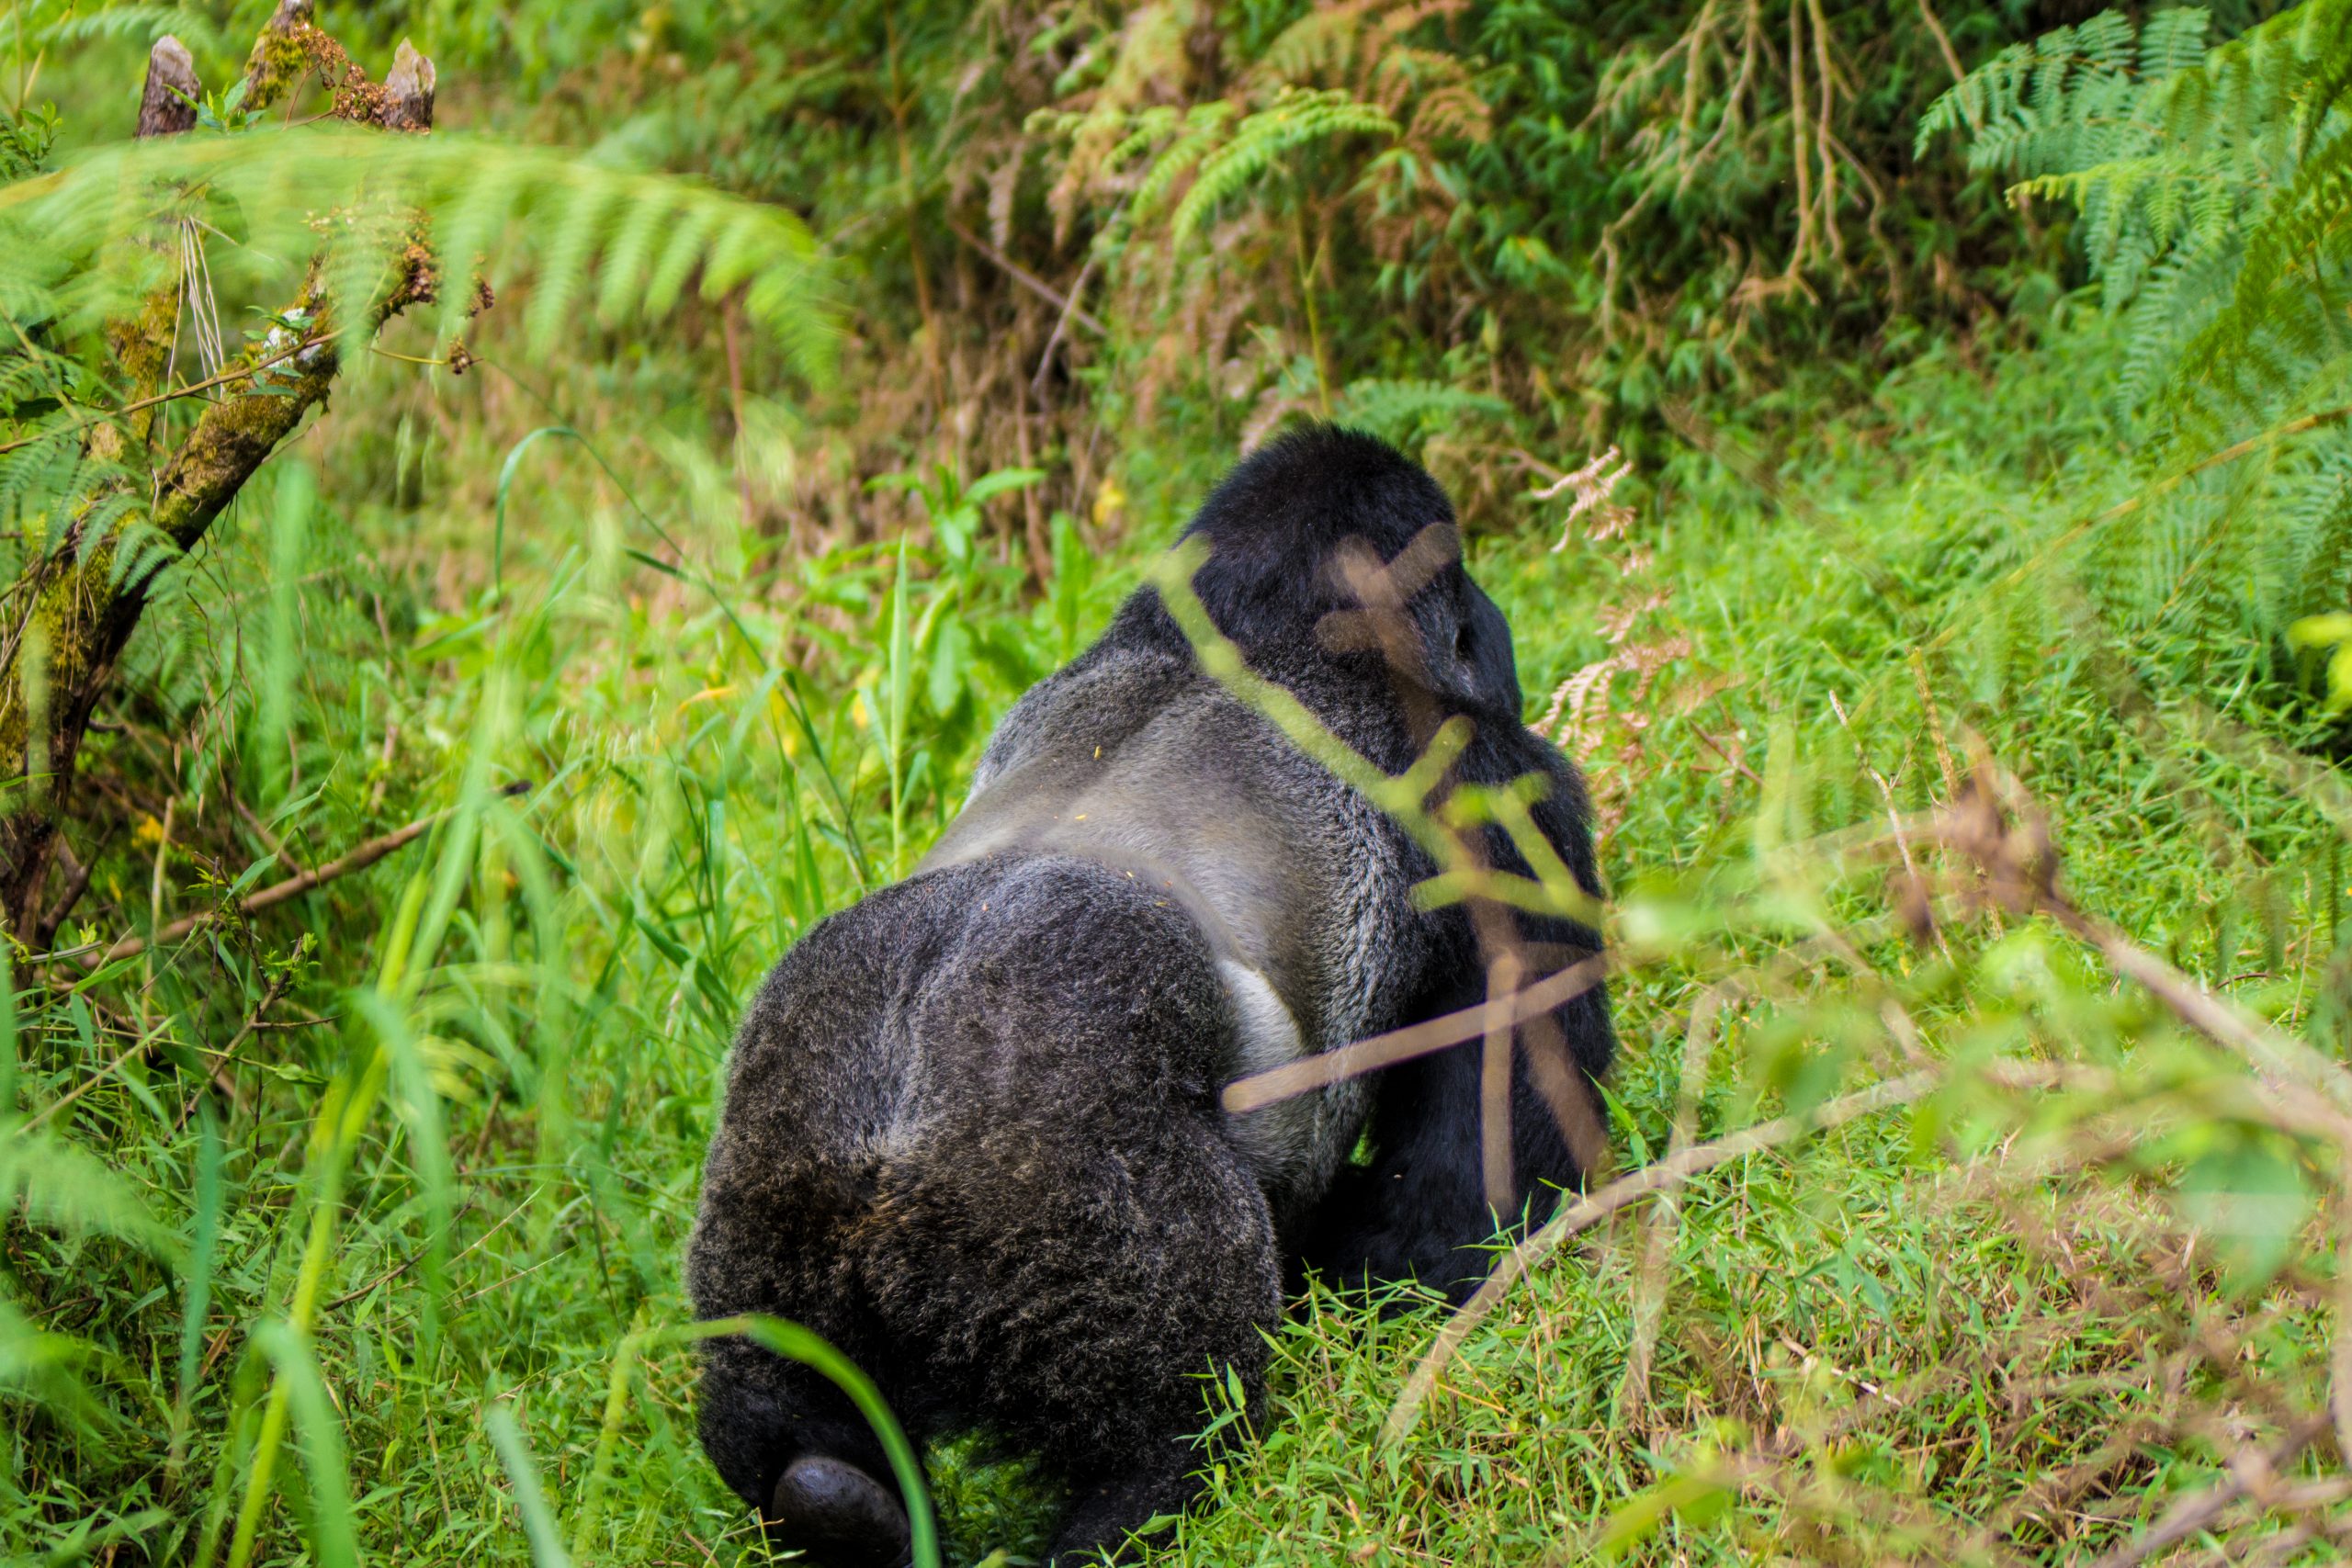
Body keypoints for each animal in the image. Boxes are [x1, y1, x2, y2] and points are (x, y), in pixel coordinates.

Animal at [685, 426, 1612, 1568]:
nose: (1500, 632)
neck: (1255, 629)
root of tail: (881, 1142)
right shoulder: (1490, 781)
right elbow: (1468, 1180)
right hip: (1069, 1208)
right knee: (1180, 1425)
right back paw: (1126, 1504)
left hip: (766, 1216)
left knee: (774, 1416)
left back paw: (829, 1501)